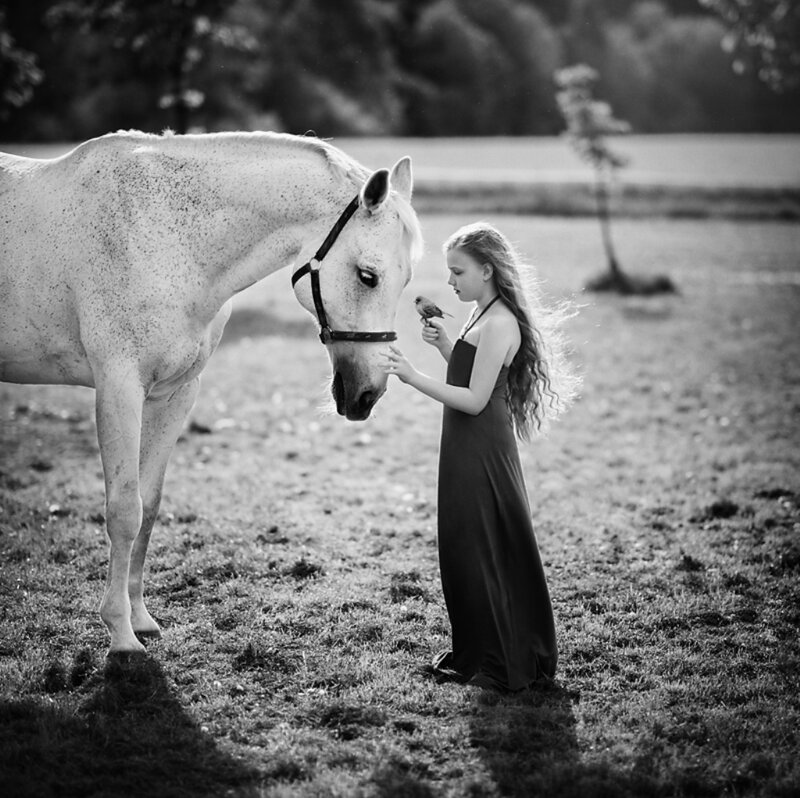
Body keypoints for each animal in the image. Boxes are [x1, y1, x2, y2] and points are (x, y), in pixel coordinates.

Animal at [0, 130, 423, 653]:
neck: (168, 236)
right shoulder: (118, 387)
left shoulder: (174, 394)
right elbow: (124, 510)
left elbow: (149, 506)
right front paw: (121, 635)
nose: (367, 395)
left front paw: (140, 618)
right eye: (368, 276)